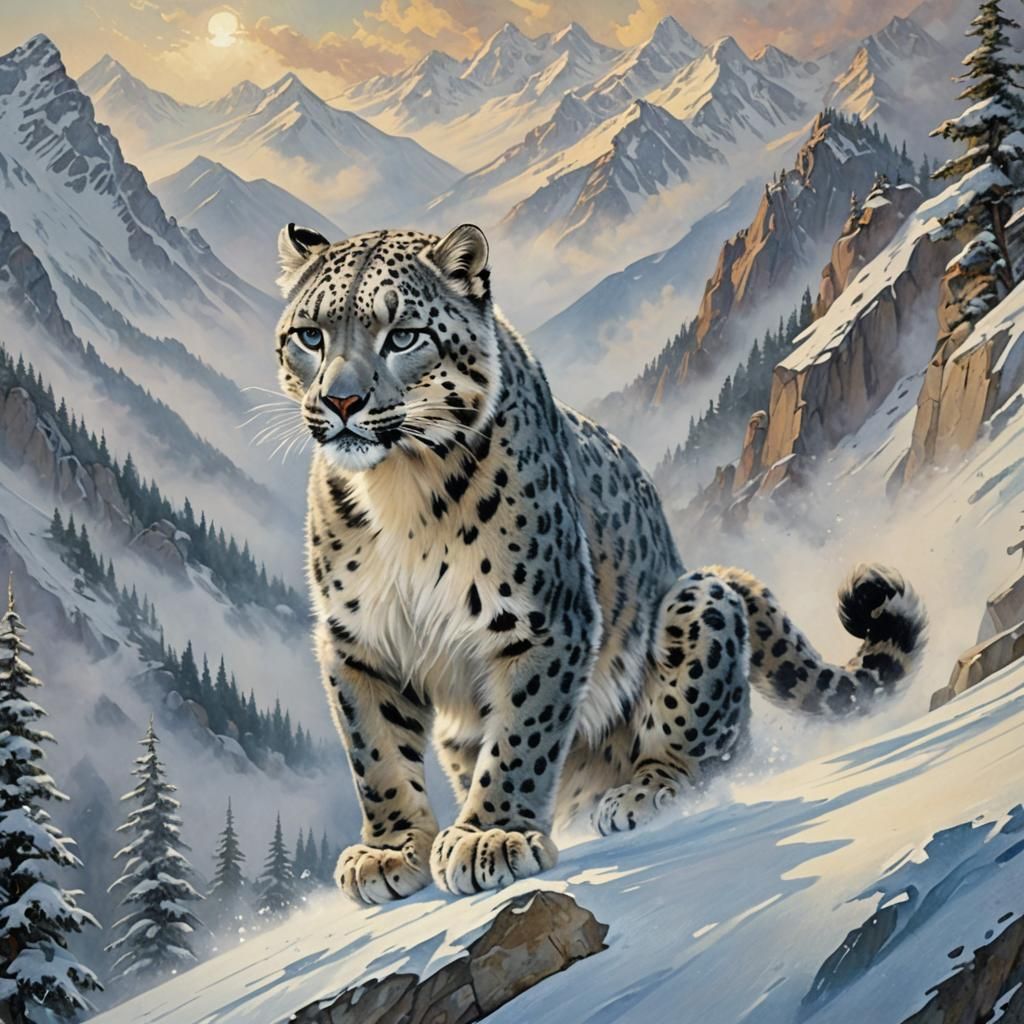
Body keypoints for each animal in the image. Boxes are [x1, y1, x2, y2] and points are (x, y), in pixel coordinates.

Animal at [272, 221, 927, 905]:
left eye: (403, 335)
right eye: (311, 336)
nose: (342, 401)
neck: (398, 488)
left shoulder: (541, 619)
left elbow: (521, 734)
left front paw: (491, 835)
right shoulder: (356, 640)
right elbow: (374, 750)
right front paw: (390, 849)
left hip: (698, 606)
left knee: (710, 753)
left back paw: (639, 794)